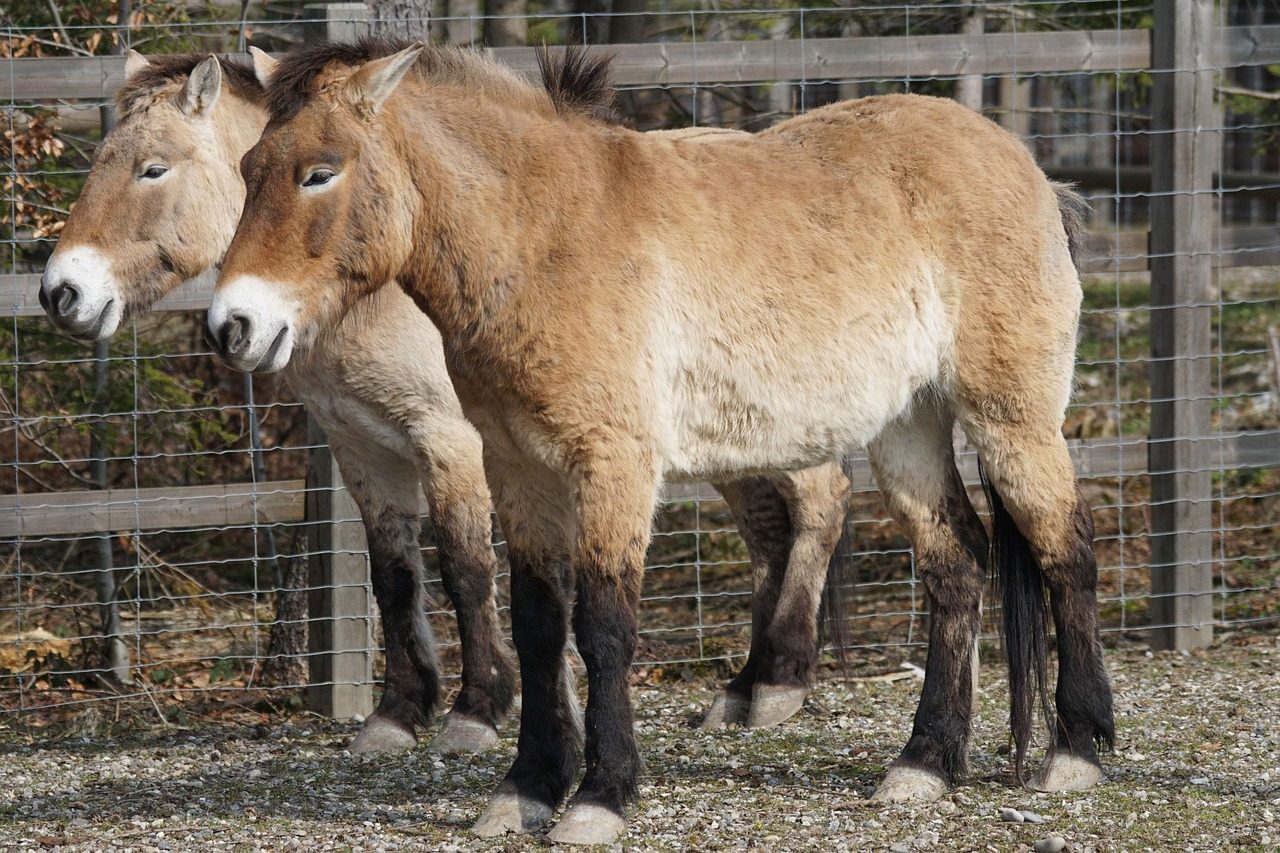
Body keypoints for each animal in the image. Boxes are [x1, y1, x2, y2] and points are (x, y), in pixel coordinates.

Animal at [38, 49, 859, 751]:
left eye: (152, 168)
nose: (60, 292)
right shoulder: (363, 450)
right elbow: (396, 576)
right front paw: (401, 712)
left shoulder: (452, 441)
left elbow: (465, 568)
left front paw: (477, 709)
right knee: (769, 532)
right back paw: (745, 686)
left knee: (820, 501)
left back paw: (779, 683)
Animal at [207, 39, 1113, 845]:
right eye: (247, 169)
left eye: (320, 170)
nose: (233, 325)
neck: (543, 237)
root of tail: (1029, 169)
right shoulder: (517, 468)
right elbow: (539, 623)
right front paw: (525, 790)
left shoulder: (613, 463)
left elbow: (605, 624)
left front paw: (600, 797)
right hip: (909, 428)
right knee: (957, 565)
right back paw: (925, 763)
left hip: (1010, 419)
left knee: (1066, 549)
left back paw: (1076, 752)